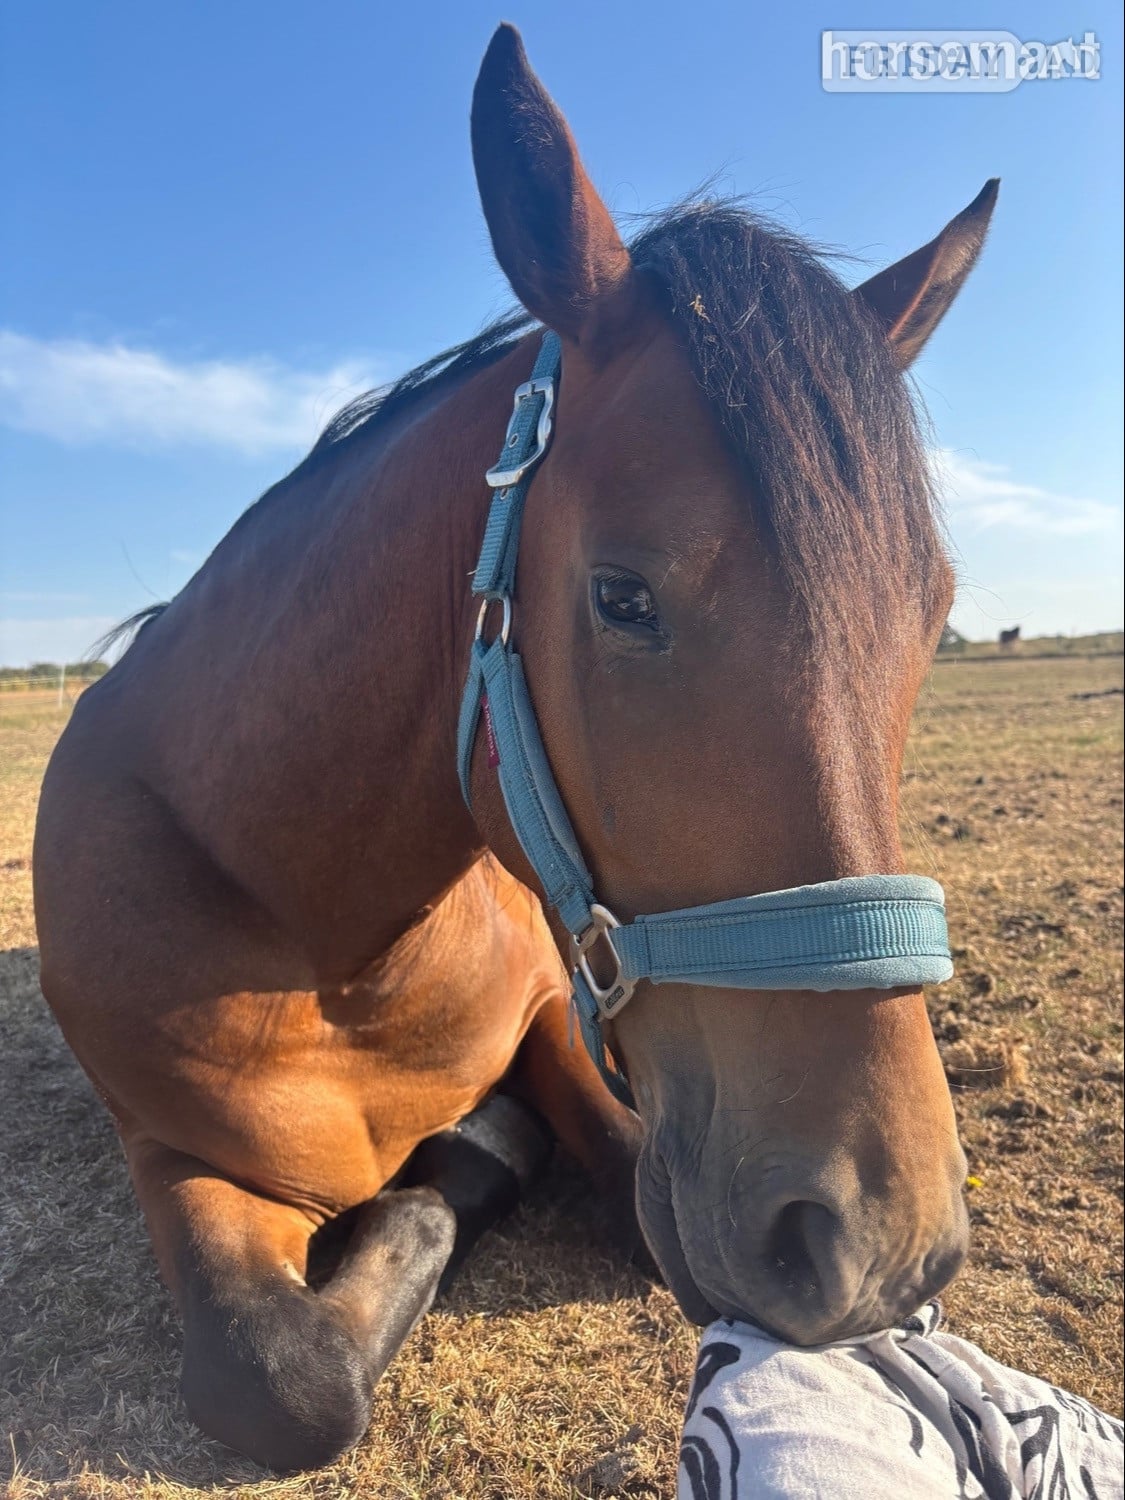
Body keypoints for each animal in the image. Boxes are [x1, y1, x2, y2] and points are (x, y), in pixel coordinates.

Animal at [33, 24, 998, 1472]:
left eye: (932, 611)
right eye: (622, 596)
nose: (883, 1244)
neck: (315, 931)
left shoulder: (562, 1010)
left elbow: (623, 1175)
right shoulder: (172, 1154)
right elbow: (283, 1379)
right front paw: (476, 1151)